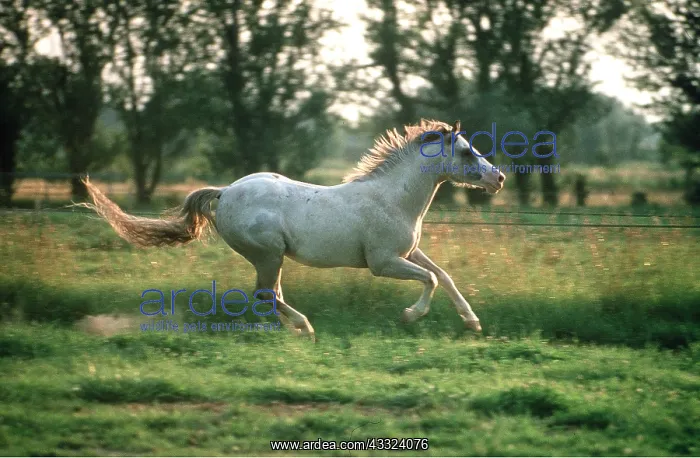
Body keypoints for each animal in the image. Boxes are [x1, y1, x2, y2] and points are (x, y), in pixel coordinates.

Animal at [79, 119, 506, 341]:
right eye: (466, 152)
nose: (498, 178)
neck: (392, 198)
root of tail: (225, 192)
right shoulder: (384, 263)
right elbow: (430, 281)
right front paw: (408, 317)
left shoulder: (408, 253)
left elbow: (443, 276)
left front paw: (473, 323)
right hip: (267, 254)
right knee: (265, 294)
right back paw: (306, 327)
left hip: (274, 257)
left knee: (271, 295)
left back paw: (292, 331)